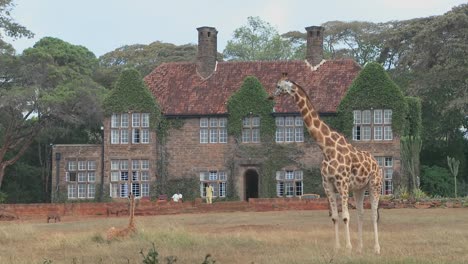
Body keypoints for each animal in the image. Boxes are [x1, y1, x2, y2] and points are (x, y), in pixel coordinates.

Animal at [268, 72, 382, 254]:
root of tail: (377, 164)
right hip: (359, 188)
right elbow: (335, 217)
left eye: (278, 86)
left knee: (373, 214)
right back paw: (360, 248)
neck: (326, 148)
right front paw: (338, 247)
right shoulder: (327, 184)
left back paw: (376, 248)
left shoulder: (342, 183)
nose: (270, 96)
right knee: (361, 213)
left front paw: (348, 248)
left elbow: (345, 216)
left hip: (374, 184)